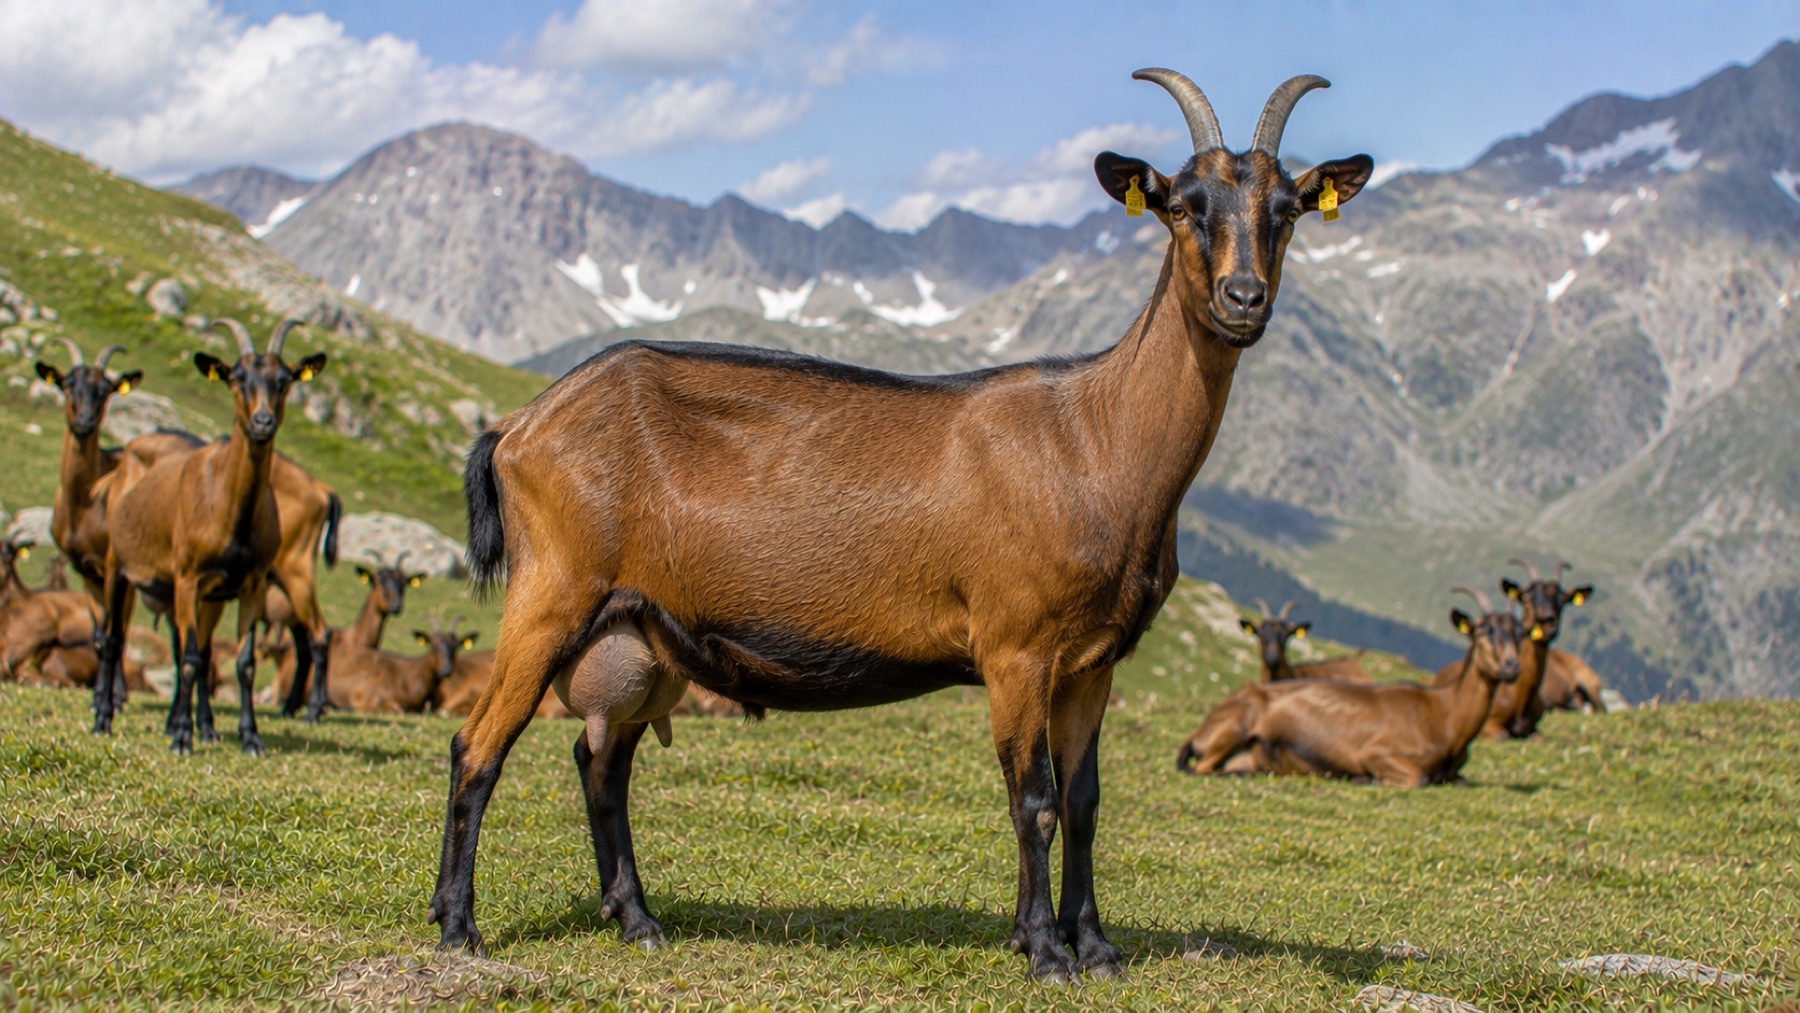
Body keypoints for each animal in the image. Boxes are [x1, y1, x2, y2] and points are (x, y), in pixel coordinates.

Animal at [95, 319, 325, 754]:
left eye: (284, 379)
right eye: (237, 377)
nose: (262, 422)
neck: (230, 511)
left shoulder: (249, 585)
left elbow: (243, 663)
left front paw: (249, 736)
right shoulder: (187, 578)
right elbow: (188, 660)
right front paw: (182, 737)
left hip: (218, 595)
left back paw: (205, 724)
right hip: (119, 567)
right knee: (114, 639)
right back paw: (104, 717)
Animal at [1431, 558, 1592, 739]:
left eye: (1562, 600)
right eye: (1528, 597)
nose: (1547, 623)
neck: (1519, 696)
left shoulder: (1534, 727)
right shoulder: (1486, 722)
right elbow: (1502, 735)